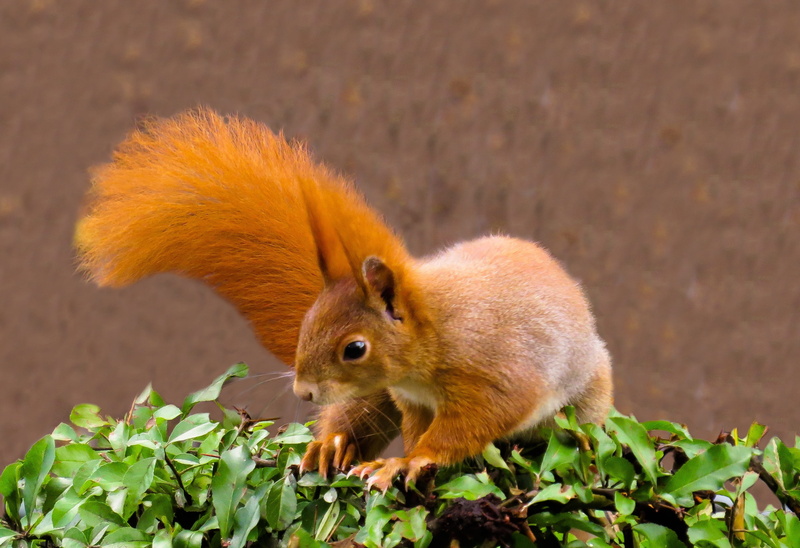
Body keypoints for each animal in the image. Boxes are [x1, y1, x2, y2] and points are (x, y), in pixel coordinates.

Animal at [75, 108, 613, 491]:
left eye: (355, 348)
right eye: (306, 323)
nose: (303, 393)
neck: (433, 329)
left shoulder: (496, 372)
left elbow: (471, 424)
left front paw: (409, 461)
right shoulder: (409, 400)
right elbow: (418, 427)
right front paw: (395, 459)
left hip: (587, 395)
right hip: (373, 395)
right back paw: (332, 444)